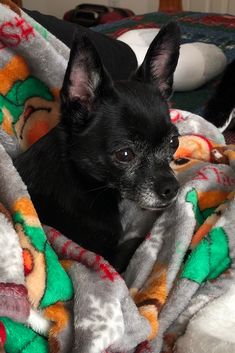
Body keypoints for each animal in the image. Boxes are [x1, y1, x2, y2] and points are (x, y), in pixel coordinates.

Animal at [14, 22, 180, 270]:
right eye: (125, 154)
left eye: (173, 142)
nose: (173, 188)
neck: (82, 179)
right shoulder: (107, 258)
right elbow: (137, 240)